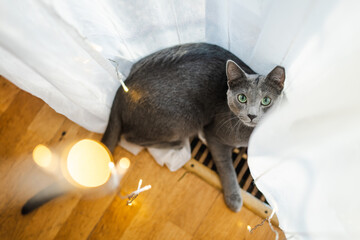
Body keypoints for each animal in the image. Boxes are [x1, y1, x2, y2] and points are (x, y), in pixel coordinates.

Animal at [101, 43, 284, 212]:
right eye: (242, 98)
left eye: (266, 100)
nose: (252, 115)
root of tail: (124, 86)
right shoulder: (214, 135)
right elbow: (226, 166)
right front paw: (234, 198)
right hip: (187, 119)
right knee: (129, 137)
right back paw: (177, 144)